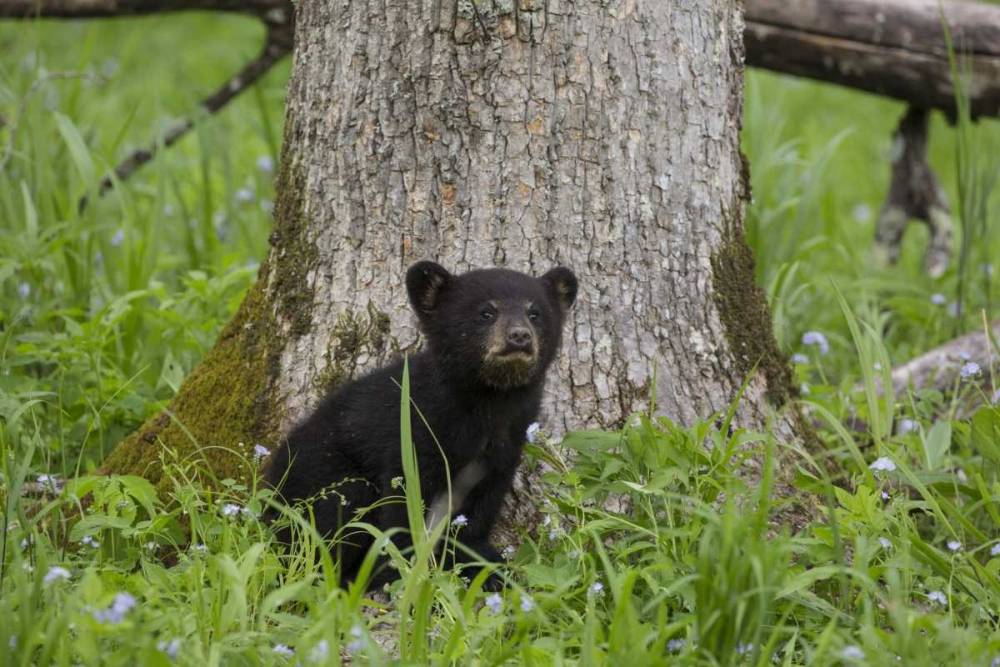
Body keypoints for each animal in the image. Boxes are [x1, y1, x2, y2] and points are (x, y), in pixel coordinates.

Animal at [265, 260, 578, 590]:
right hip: (319, 477)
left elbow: (482, 501)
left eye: (535, 313)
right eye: (486, 312)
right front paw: (399, 572)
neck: (488, 402)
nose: (519, 336)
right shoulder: (417, 428)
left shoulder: (507, 441)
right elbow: (405, 501)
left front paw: (481, 564)